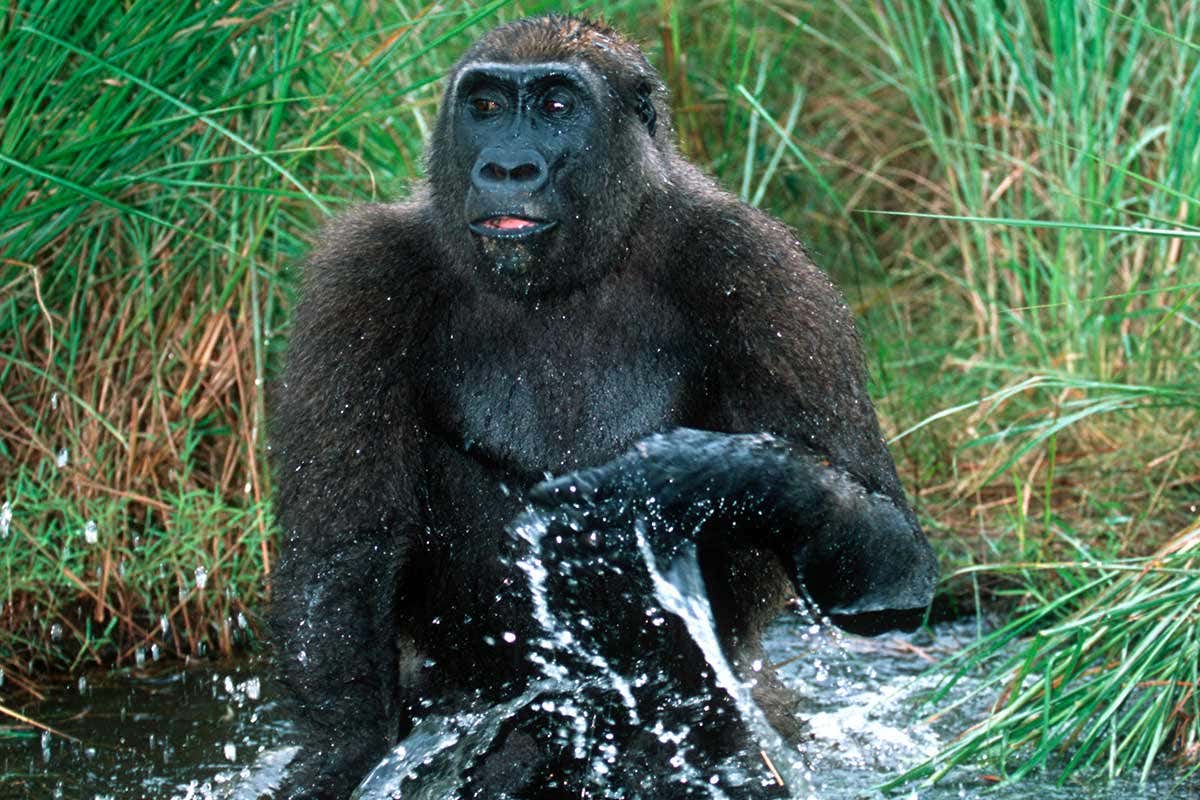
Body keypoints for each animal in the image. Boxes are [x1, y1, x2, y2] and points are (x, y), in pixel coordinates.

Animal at [269, 15, 937, 799]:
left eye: (557, 106)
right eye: (486, 108)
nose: (507, 169)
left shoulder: (761, 269)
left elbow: (889, 555)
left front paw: (704, 473)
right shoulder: (362, 276)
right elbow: (341, 557)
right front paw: (345, 748)